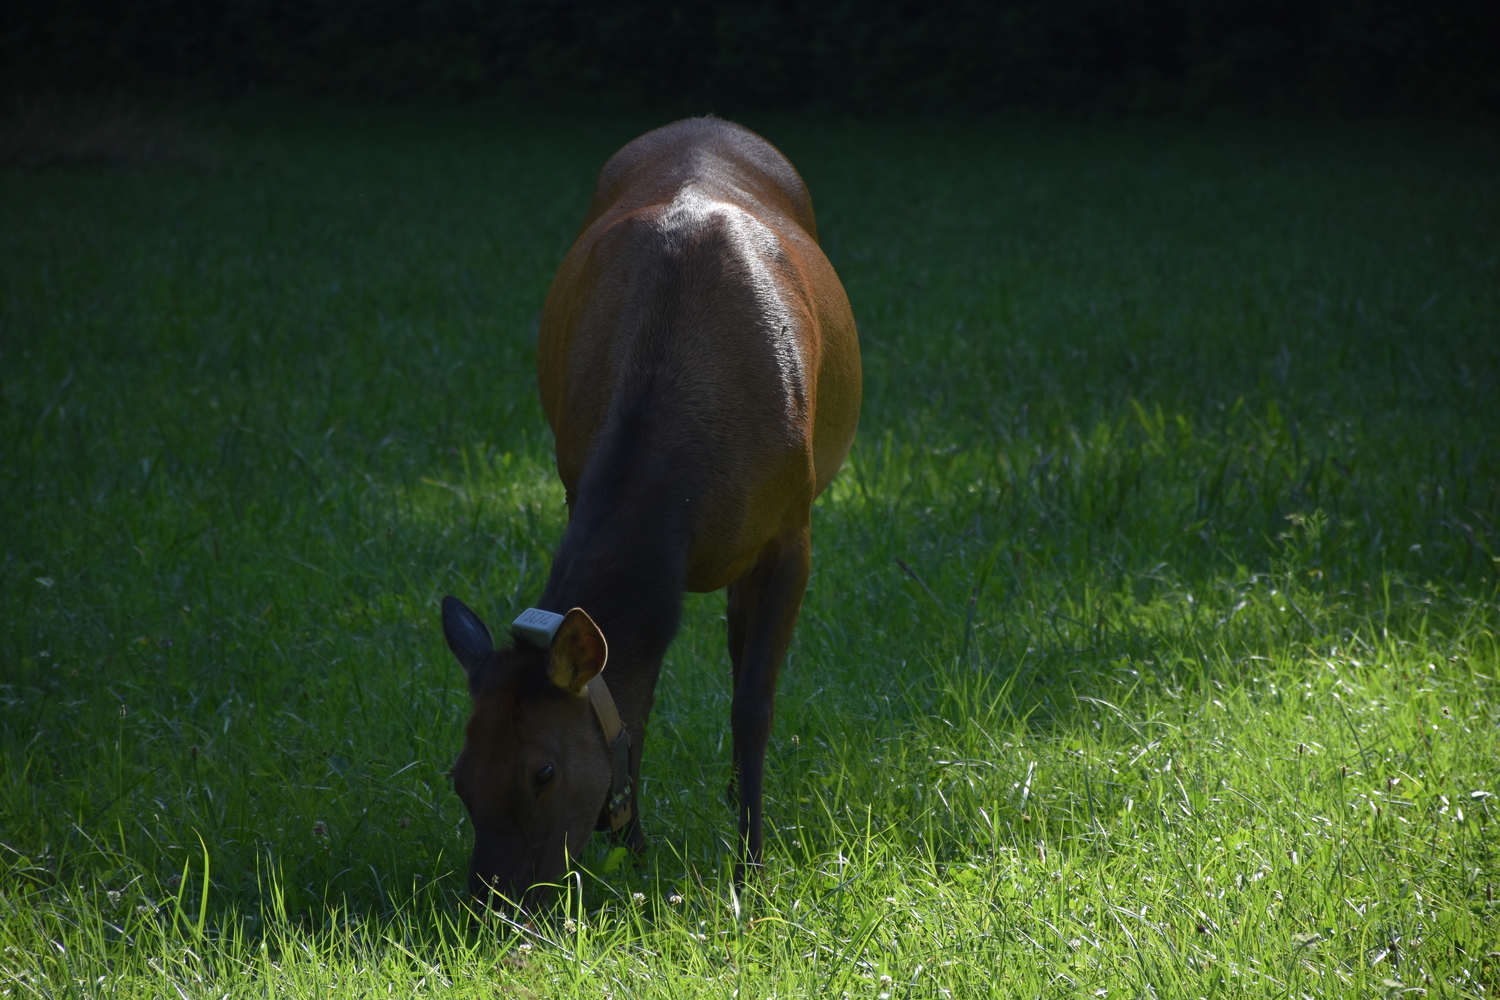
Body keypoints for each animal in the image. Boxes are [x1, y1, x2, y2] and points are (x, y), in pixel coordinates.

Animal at [438, 119, 858, 905]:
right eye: (458, 775)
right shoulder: (574, 477)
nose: (493, 905)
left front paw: (750, 869)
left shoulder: (793, 528)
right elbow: (641, 698)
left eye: (543, 772)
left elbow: (753, 703)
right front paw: (636, 848)